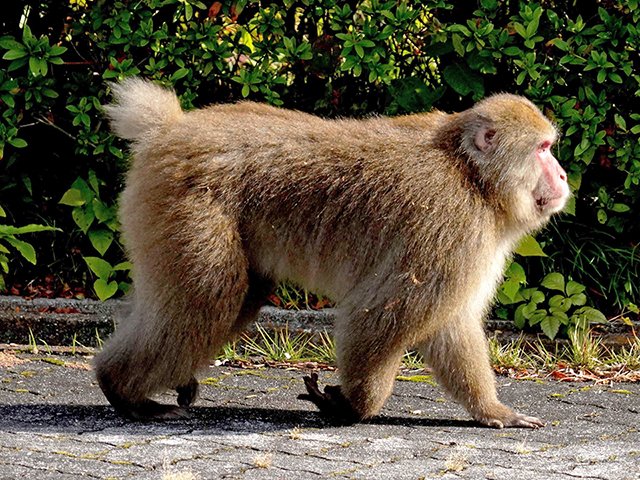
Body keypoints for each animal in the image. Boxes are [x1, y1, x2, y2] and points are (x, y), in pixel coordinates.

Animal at [95, 77, 569, 428]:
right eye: (543, 150)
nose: (564, 175)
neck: (471, 175)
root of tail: (169, 129)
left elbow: (446, 324)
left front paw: (491, 411)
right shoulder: (450, 224)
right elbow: (386, 312)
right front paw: (356, 406)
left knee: (229, 298)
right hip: (185, 205)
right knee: (209, 299)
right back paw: (121, 388)